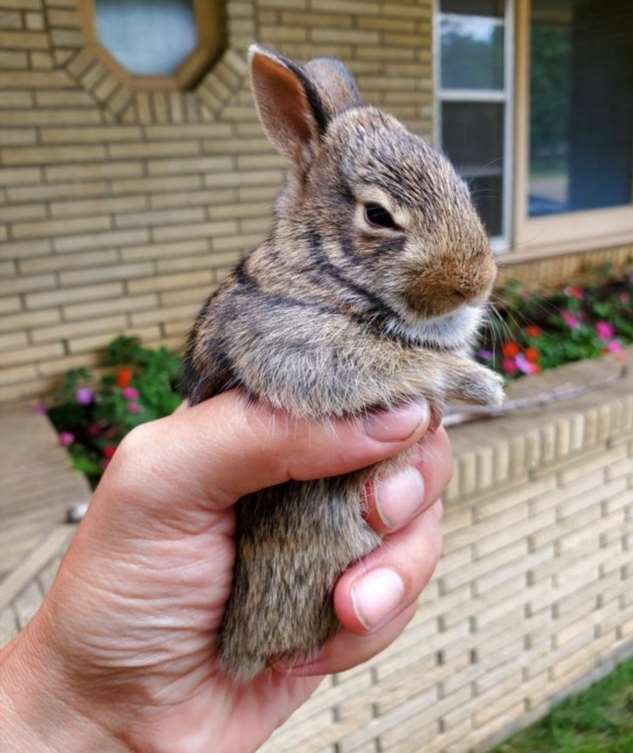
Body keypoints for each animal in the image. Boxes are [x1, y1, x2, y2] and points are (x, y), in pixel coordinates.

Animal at [183, 44, 504, 680]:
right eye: (378, 216)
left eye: (462, 187)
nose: (476, 283)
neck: (326, 267)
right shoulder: (289, 344)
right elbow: (394, 361)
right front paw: (484, 384)